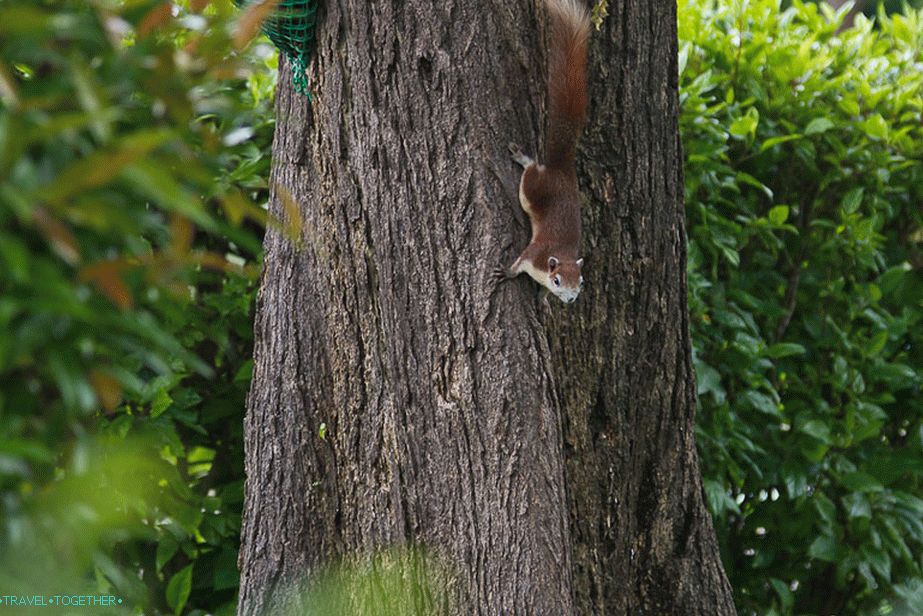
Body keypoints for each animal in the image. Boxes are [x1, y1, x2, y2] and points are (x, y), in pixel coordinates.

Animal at [493, 0, 590, 304]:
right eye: (557, 279)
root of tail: (562, 169)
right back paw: (522, 158)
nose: (570, 300)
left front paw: (543, 298)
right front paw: (507, 272)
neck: (560, 256)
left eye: (581, 282)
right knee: (531, 172)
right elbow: (519, 262)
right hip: (534, 188)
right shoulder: (534, 255)